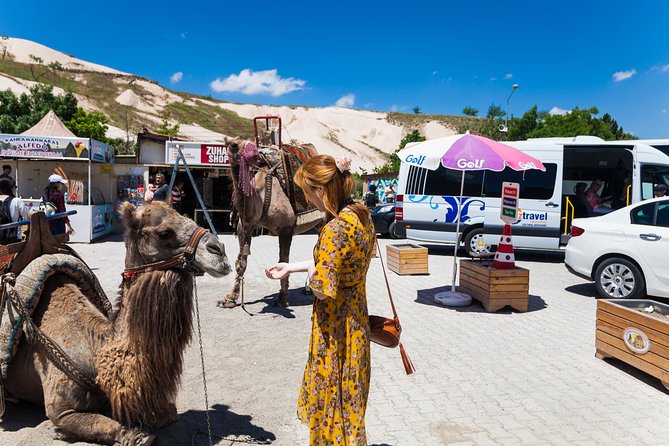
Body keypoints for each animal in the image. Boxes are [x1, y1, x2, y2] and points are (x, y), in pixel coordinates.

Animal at [218, 138, 322, 308]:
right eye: (232, 144)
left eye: (248, 145)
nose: (239, 155)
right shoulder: (244, 226)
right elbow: (241, 262)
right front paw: (229, 298)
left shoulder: (286, 228)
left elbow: (283, 261)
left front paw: (282, 298)